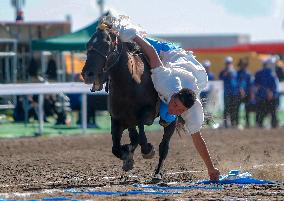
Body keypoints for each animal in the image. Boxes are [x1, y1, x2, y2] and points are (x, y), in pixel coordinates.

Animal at [81, 22, 176, 180]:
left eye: (107, 43)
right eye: (88, 44)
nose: (87, 74)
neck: (129, 83)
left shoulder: (147, 112)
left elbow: (142, 135)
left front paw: (147, 150)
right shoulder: (117, 118)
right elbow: (116, 147)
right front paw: (127, 156)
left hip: (172, 118)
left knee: (164, 145)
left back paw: (157, 173)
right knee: (134, 137)